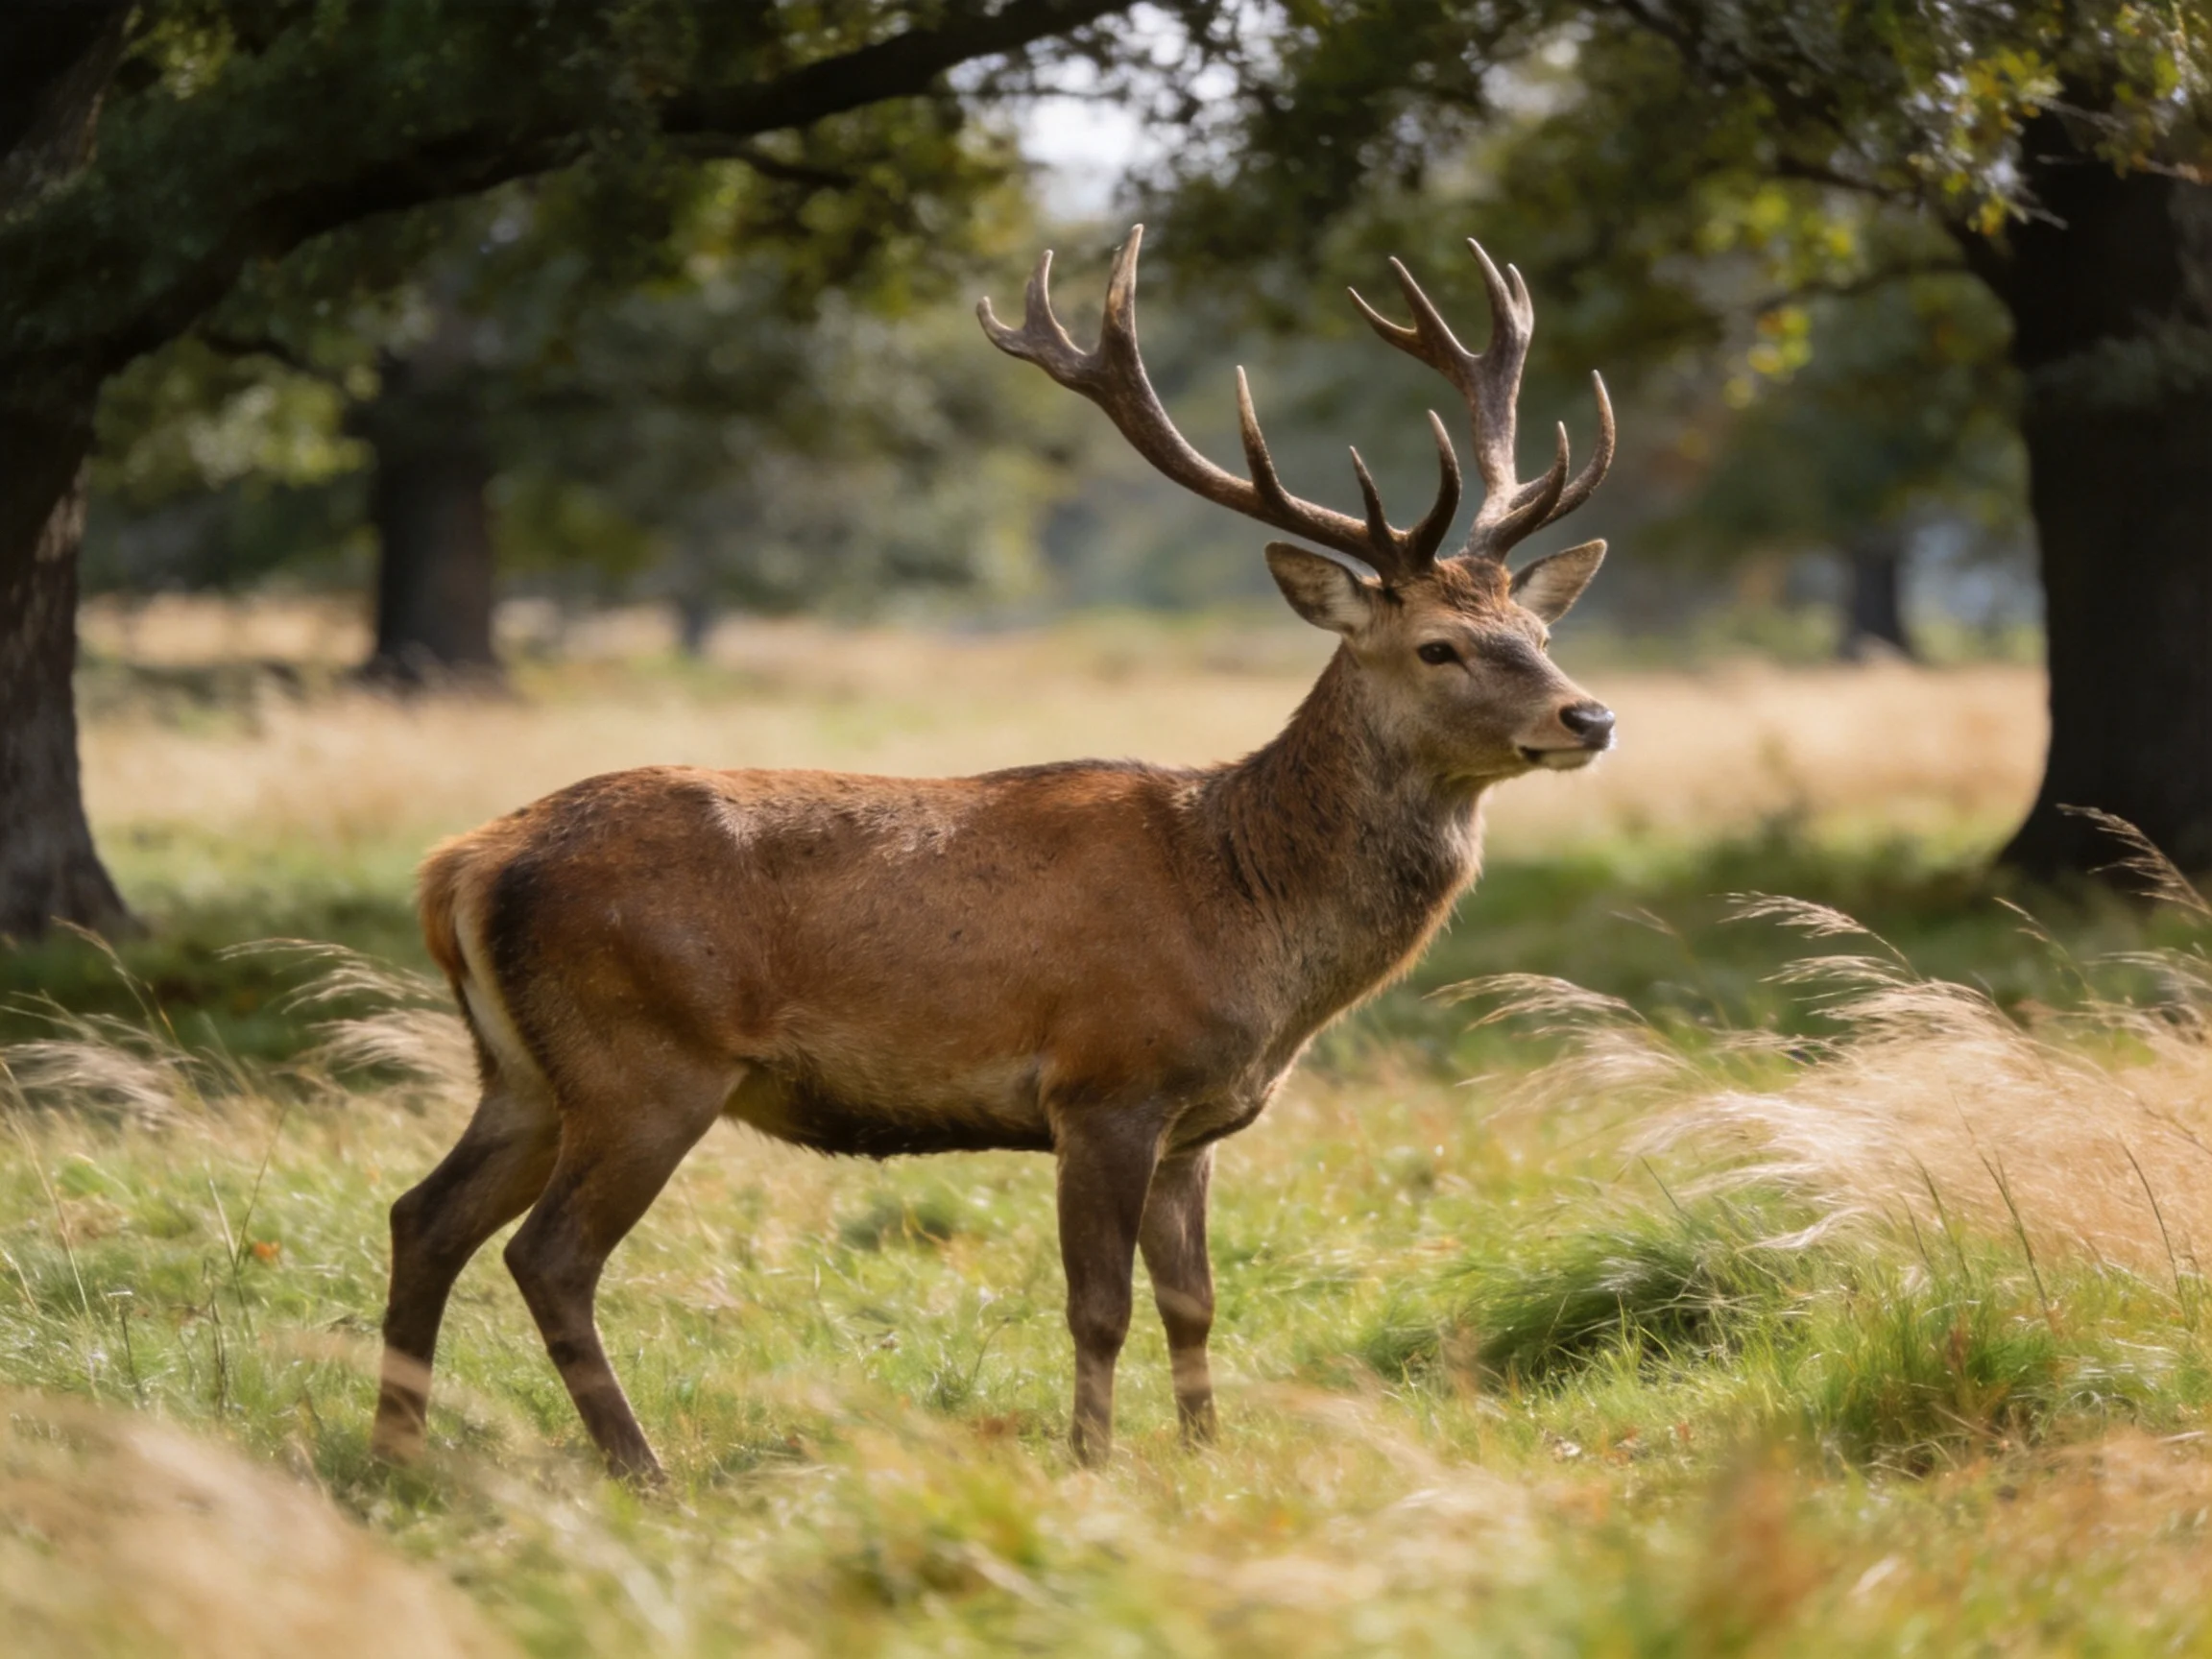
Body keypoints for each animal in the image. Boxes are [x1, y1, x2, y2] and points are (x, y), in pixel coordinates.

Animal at [371, 227, 1618, 1481]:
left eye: (1541, 631)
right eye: (1439, 647)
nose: (1590, 716)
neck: (1248, 914)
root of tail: (460, 866)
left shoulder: (1196, 1121)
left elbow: (1195, 1302)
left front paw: (1206, 1456)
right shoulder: (1104, 1082)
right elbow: (1099, 1305)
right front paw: (1092, 1462)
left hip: (525, 1070)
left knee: (423, 1216)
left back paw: (400, 1453)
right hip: (644, 1059)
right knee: (549, 1255)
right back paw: (638, 1468)